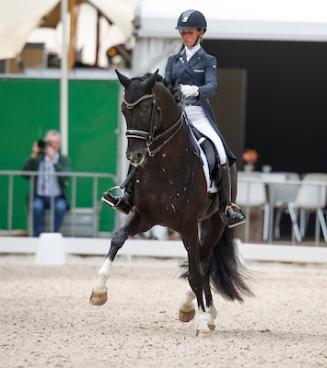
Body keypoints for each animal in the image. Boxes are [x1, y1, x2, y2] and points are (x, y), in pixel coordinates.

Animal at [90, 69, 254, 336]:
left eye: (148, 107)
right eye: (124, 109)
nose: (134, 156)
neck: (164, 165)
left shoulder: (187, 224)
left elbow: (195, 271)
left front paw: (200, 320)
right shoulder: (144, 215)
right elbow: (117, 239)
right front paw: (99, 291)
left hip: (214, 222)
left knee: (203, 262)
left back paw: (199, 311)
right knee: (202, 262)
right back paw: (206, 313)